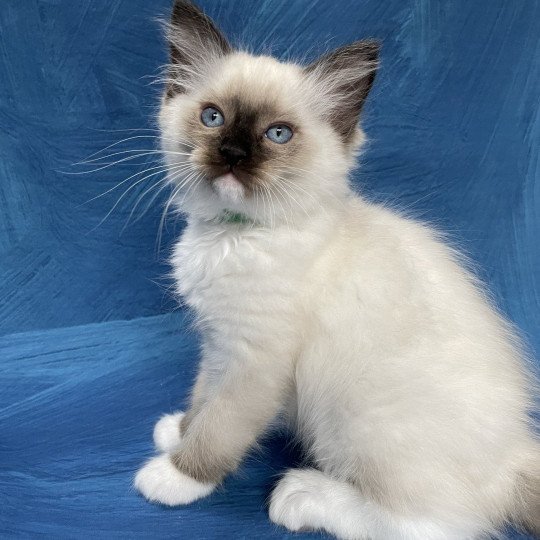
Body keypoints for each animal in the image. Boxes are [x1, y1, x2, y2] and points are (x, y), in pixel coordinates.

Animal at [134, 2, 540, 536]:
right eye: (212, 118)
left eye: (277, 134)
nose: (233, 155)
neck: (236, 236)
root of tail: (511, 457)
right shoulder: (219, 343)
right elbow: (203, 396)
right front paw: (178, 431)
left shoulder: (254, 360)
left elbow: (220, 426)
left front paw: (176, 475)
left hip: (353, 417)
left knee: (430, 523)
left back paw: (300, 496)